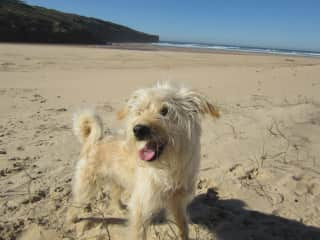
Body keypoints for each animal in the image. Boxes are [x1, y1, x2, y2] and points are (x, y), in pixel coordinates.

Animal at [68, 82, 219, 238]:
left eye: (165, 110)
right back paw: (72, 218)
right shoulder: (140, 207)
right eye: (139, 112)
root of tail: (94, 141)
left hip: (118, 179)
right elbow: (139, 234)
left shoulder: (177, 201)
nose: (138, 129)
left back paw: (120, 208)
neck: (169, 168)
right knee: (75, 203)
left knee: (114, 195)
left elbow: (183, 227)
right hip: (86, 184)